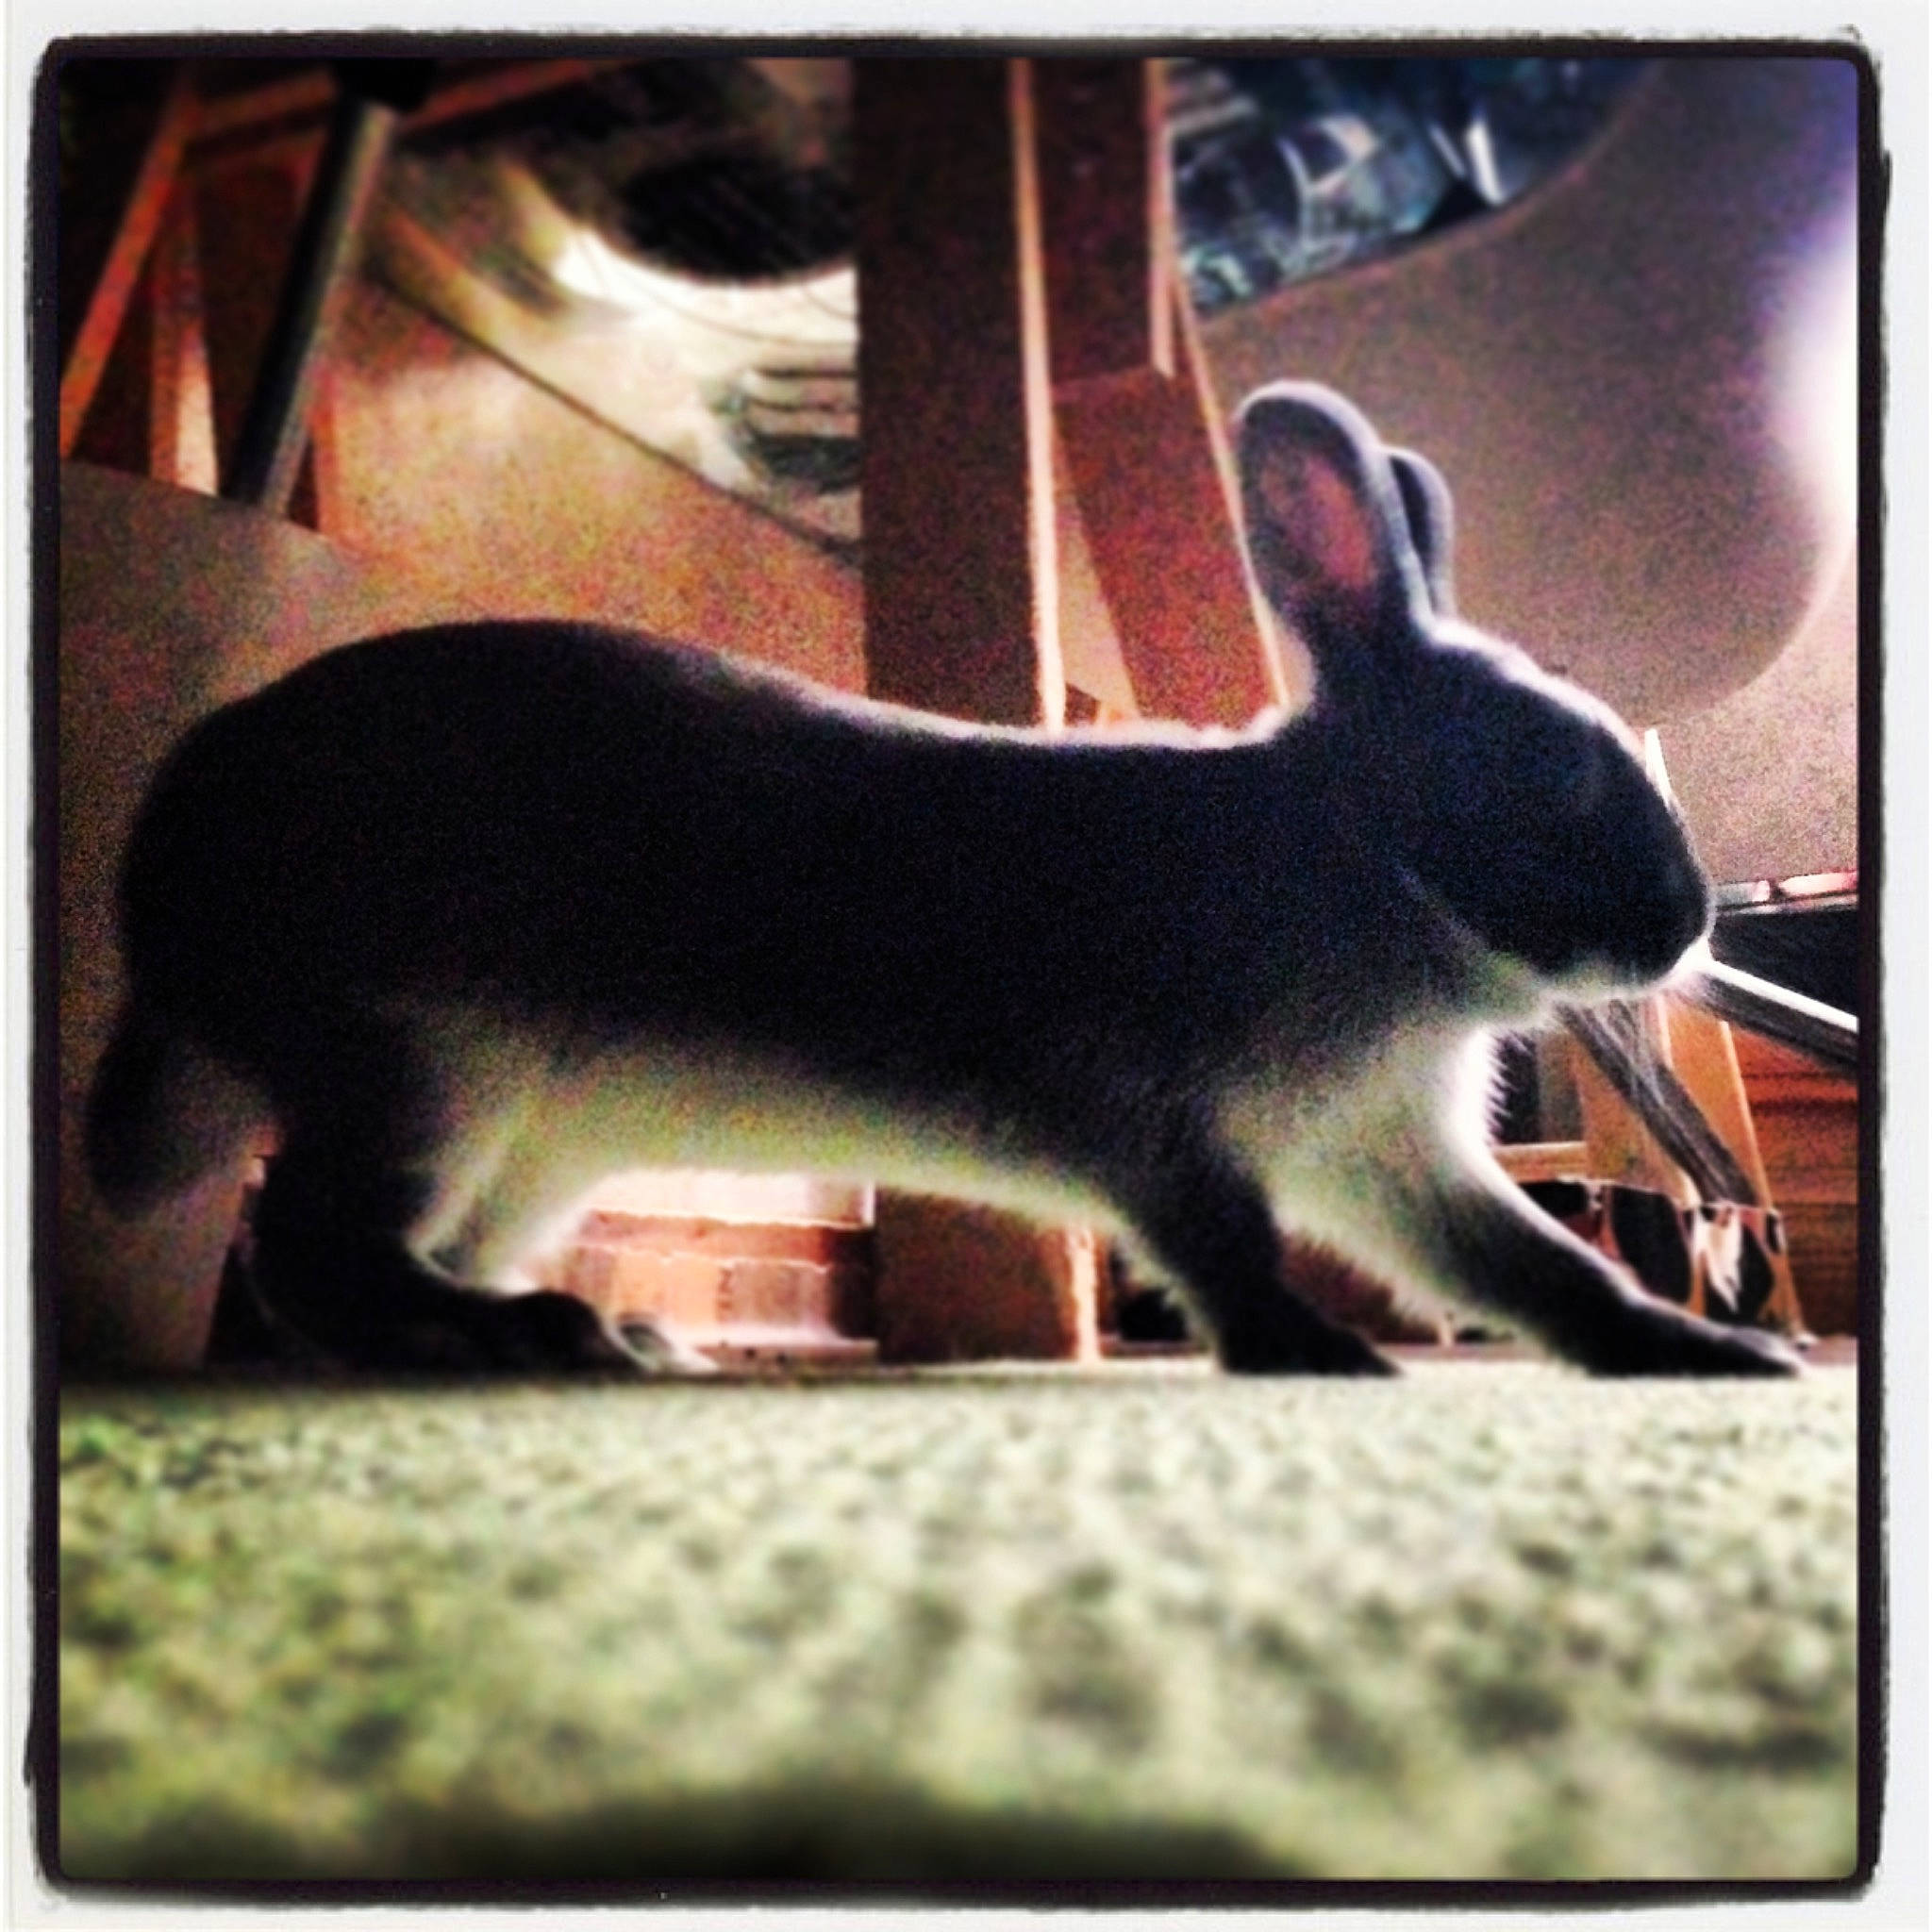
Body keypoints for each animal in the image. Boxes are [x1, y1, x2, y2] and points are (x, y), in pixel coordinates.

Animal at [84, 382, 1801, 1378]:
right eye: (1551, 767)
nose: (1686, 924)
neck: (1355, 860)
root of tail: (168, 863)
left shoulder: (1389, 1163)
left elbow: (1538, 1268)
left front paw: (1700, 1360)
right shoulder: (1161, 1124)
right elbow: (1223, 1248)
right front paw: (1313, 1358)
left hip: (525, 1142)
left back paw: (592, 1333)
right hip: (432, 1064)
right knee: (312, 1250)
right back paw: (529, 1338)